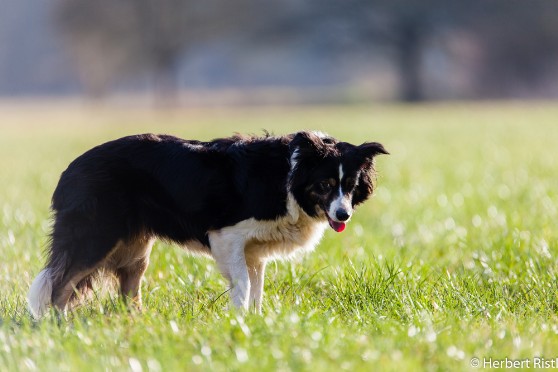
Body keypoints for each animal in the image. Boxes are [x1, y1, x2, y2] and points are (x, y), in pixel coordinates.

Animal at [28, 131, 388, 316]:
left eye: (351, 185)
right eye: (325, 184)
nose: (343, 215)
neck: (288, 176)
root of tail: (69, 171)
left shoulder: (254, 250)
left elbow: (256, 287)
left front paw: (256, 322)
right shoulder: (227, 235)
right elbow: (243, 285)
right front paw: (239, 321)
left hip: (135, 246)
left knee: (128, 285)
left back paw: (137, 321)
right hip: (96, 235)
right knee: (60, 284)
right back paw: (56, 325)